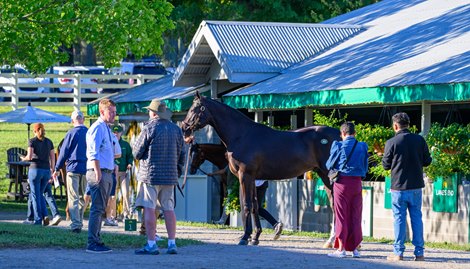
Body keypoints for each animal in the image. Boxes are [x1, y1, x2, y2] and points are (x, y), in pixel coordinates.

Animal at [182, 92, 340, 245]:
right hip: (324, 175)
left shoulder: (245, 175)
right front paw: (255, 237)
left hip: (329, 176)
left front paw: (245, 237)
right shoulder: (251, 178)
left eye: (194, 109)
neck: (241, 135)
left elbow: (246, 204)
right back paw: (331, 241)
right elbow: (254, 205)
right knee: (334, 204)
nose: (184, 128)